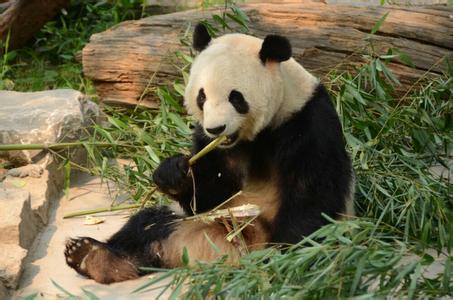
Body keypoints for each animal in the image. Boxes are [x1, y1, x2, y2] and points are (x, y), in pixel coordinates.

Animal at [63, 23, 354, 284]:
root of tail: (217, 253)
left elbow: (311, 194)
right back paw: (92, 257)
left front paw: (284, 257)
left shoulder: (307, 121)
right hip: (196, 222)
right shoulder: (206, 141)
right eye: (201, 97)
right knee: (147, 226)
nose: (216, 129)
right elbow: (209, 193)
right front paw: (173, 173)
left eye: (236, 97)